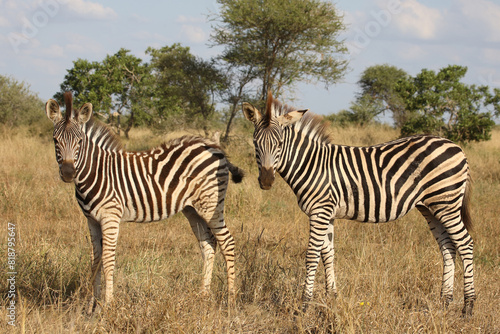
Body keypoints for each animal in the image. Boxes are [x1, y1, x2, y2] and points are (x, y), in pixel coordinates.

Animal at [45, 91, 244, 314]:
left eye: (79, 141)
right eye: (55, 140)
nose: (68, 173)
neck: (96, 172)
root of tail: (215, 147)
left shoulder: (110, 217)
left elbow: (107, 259)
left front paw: (108, 304)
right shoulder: (91, 220)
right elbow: (95, 260)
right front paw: (91, 306)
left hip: (211, 206)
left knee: (227, 242)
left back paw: (231, 300)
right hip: (192, 209)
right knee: (208, 245)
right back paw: (203, 296)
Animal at [242, 92, 476, 316]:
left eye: (280, 144)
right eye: (255, 144)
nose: (266, 181)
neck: (312, 165)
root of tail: (456, 146)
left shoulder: (319, 212)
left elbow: (312, 256)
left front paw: (304, 305)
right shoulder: (327, 213)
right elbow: (328, 254)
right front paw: (332, 298)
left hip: (447, 203)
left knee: (465, 244)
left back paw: (468, 307)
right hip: (431, 207)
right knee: (448, 247)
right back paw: (445, 302)